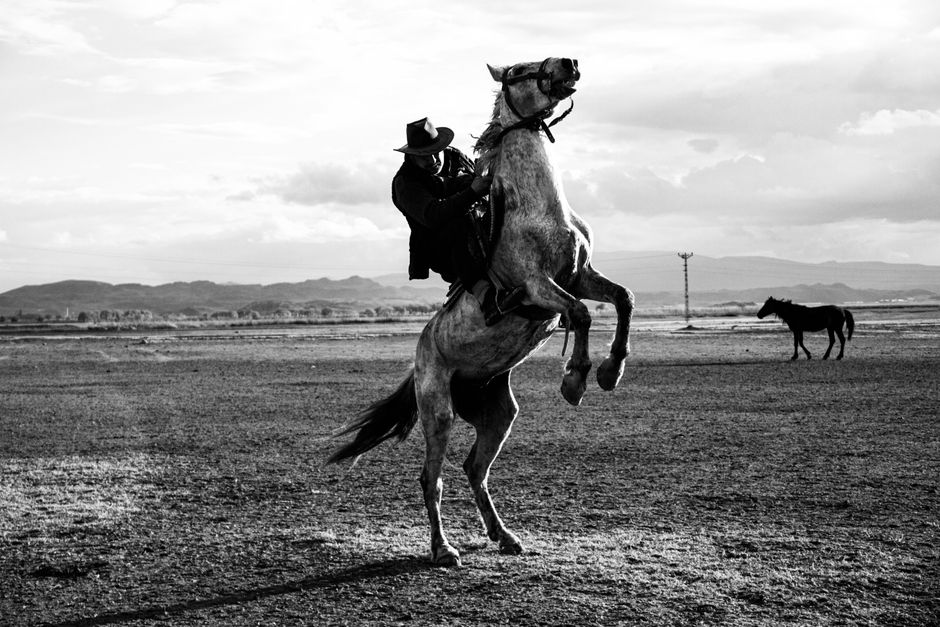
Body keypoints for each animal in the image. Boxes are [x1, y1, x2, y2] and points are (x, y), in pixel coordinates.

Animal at [327, 57, 634, 566]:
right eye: (520, 69)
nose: (569, 63)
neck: (539, 208)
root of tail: (419, 361)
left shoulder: (581, 275)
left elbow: (623, 299)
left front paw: (610, 372)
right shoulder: (537, 287)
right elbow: (581, 316)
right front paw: (575, 380)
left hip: (498, 413)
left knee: (475, 469)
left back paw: (504, 535)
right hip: (439, 413)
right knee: (432, 479)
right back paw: (443, 549)